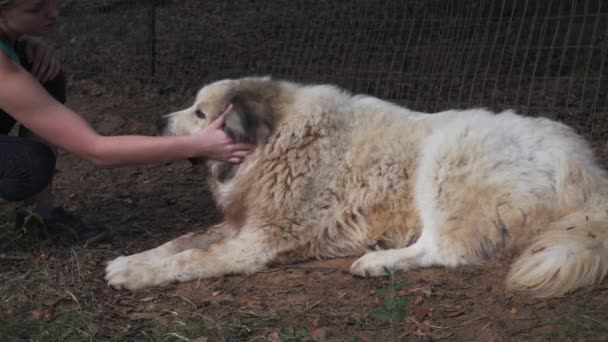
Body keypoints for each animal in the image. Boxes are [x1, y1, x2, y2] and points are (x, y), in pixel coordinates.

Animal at [105, 76, 608, 298]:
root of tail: (586, 167)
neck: (278, 140)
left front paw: (135, 275)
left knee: (446, 249)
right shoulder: (240, 225)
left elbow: (190, 258)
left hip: (446, 153)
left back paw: (377, 262)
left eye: (200, 114)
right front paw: (132, 260)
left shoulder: (256, 242)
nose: (158, 122)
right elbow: (180, 241)